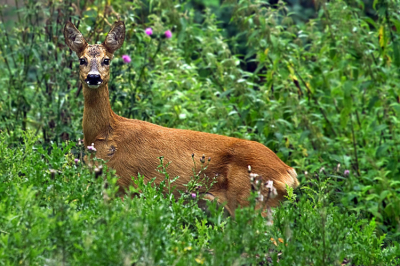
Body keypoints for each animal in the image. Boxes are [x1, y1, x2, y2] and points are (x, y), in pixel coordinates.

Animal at [64, 20, 298, 216]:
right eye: (82, 60)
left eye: (107, 60)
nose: (93, 77)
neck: (106, 134)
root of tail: (288, 173)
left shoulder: (124, 183)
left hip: (250, 201)